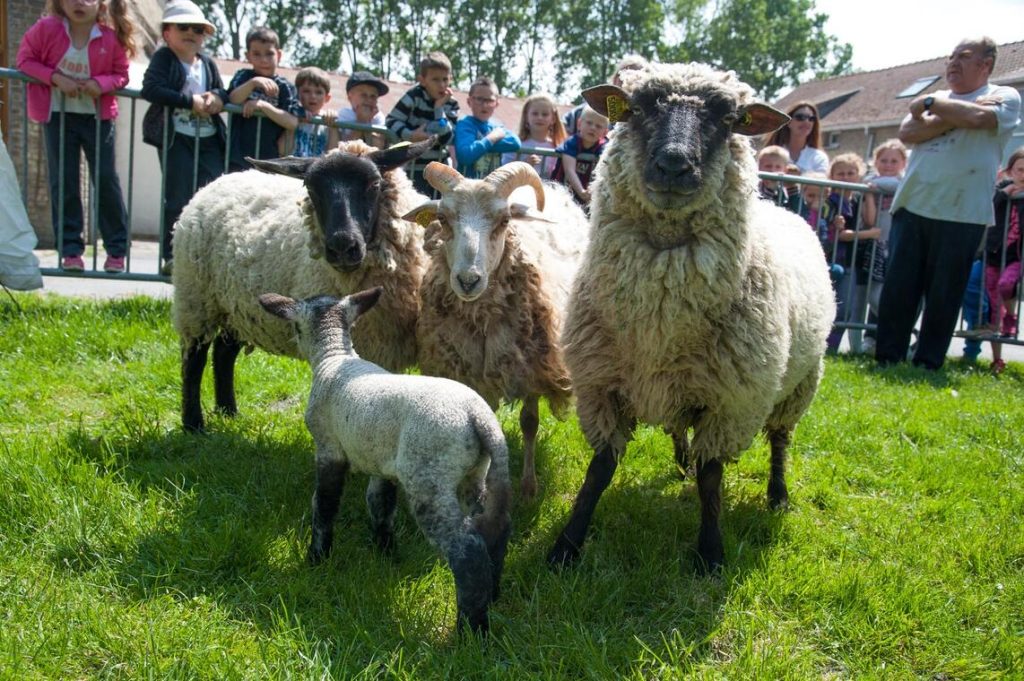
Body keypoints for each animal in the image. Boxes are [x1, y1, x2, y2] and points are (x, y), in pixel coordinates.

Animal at [172, 137, 436, 430]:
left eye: (374, 184)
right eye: (311, 187)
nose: (342, 247)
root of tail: (217, 181)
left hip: (238, 306)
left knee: (222, 352)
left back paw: (228, 411)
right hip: (196, 299)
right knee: (193, 359)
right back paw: (193, 423)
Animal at [256, 284, 512, 630]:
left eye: (295, 327)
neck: (334, 357)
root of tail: (479, 417)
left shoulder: (329, 449)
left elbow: (324, 506)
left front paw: (317, 558)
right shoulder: (382, 464)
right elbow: (380, 506)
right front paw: (386, 554)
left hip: (428, 477)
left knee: (466, 548)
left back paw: (472, 628)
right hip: (476, 474)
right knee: (493, 531)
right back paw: (492, 595)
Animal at [401, 161, 589, 497]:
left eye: (504, 221)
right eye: (442, 219)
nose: (468, 281)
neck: (483, 320)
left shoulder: (532, 367)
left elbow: (529, 422)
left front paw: (528, 486)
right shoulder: (469, 372)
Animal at [548, 65, 835, 573]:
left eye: (729, 118)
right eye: (637, 108)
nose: (674, 164)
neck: (660, 323)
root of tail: (782, 205)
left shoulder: (730, 403)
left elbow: (711, 477)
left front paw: (710, 553)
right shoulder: (601, 389)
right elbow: (599, 471)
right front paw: (567, 545)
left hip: (800, 383)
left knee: (780, 439)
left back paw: (778, 494)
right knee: (679, 425)